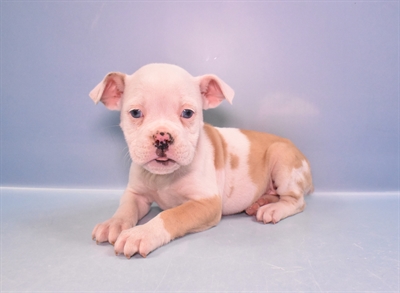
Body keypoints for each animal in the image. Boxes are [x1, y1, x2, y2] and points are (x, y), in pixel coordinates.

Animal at [89, 62, 314, 256]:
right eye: (135, 113)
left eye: (188, 113)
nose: (162, 137)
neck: (164, 177)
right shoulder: (136, 193)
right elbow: (126, 207)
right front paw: (114, 223)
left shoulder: (206, 203)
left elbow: (169, 215)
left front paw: (141, 233)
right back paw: (260, 202)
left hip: (282, 158)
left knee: (296, 201)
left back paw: (273, 209)